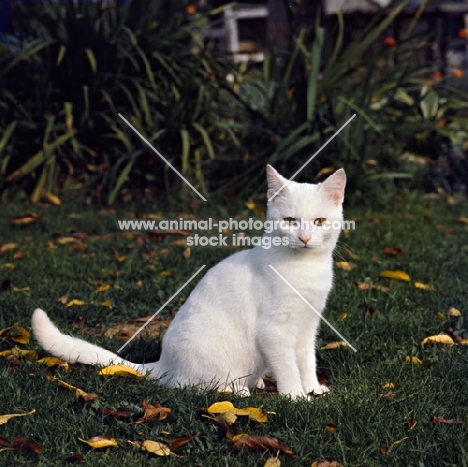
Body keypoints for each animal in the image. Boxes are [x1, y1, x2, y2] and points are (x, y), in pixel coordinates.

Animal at [31, 166, 346, 400]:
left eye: (319, 221)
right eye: (290, 220)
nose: (304, 238)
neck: (305, 268)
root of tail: (164, 363)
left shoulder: (308, 326)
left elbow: (306, 361)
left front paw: (312, 388)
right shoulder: (275, 330)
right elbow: (288, 367)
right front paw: (295, 397)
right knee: (192, 387)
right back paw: (237, 389)